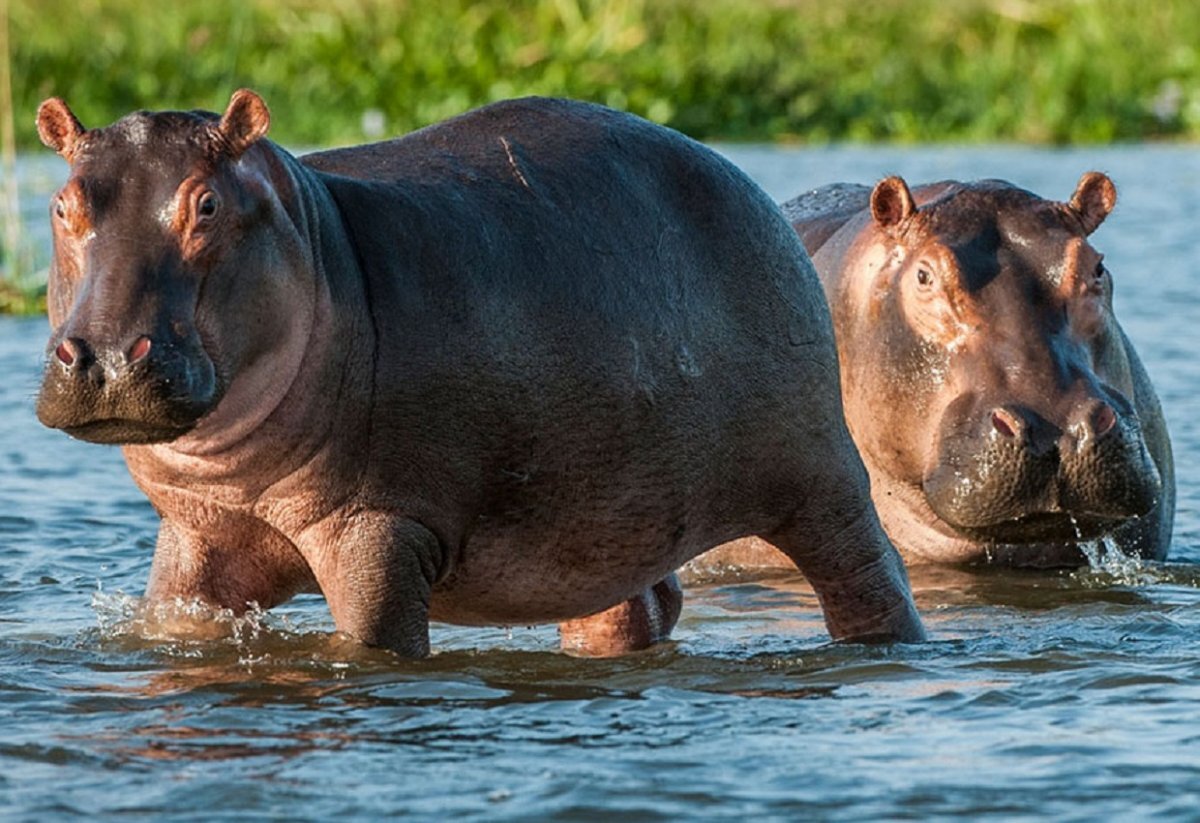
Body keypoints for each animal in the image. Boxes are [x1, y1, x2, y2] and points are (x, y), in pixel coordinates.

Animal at [32, 89, 921, 657]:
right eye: (62, 204)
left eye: (207, 203)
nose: (104, 356)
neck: (313, 238)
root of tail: (748, 185)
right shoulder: (196, 533)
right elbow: (178, 623)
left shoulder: (379, 527)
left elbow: (375, 644)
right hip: (603, 517)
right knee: (631, 607)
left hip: (821, 479)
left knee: (869, 575)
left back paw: (883, 651)